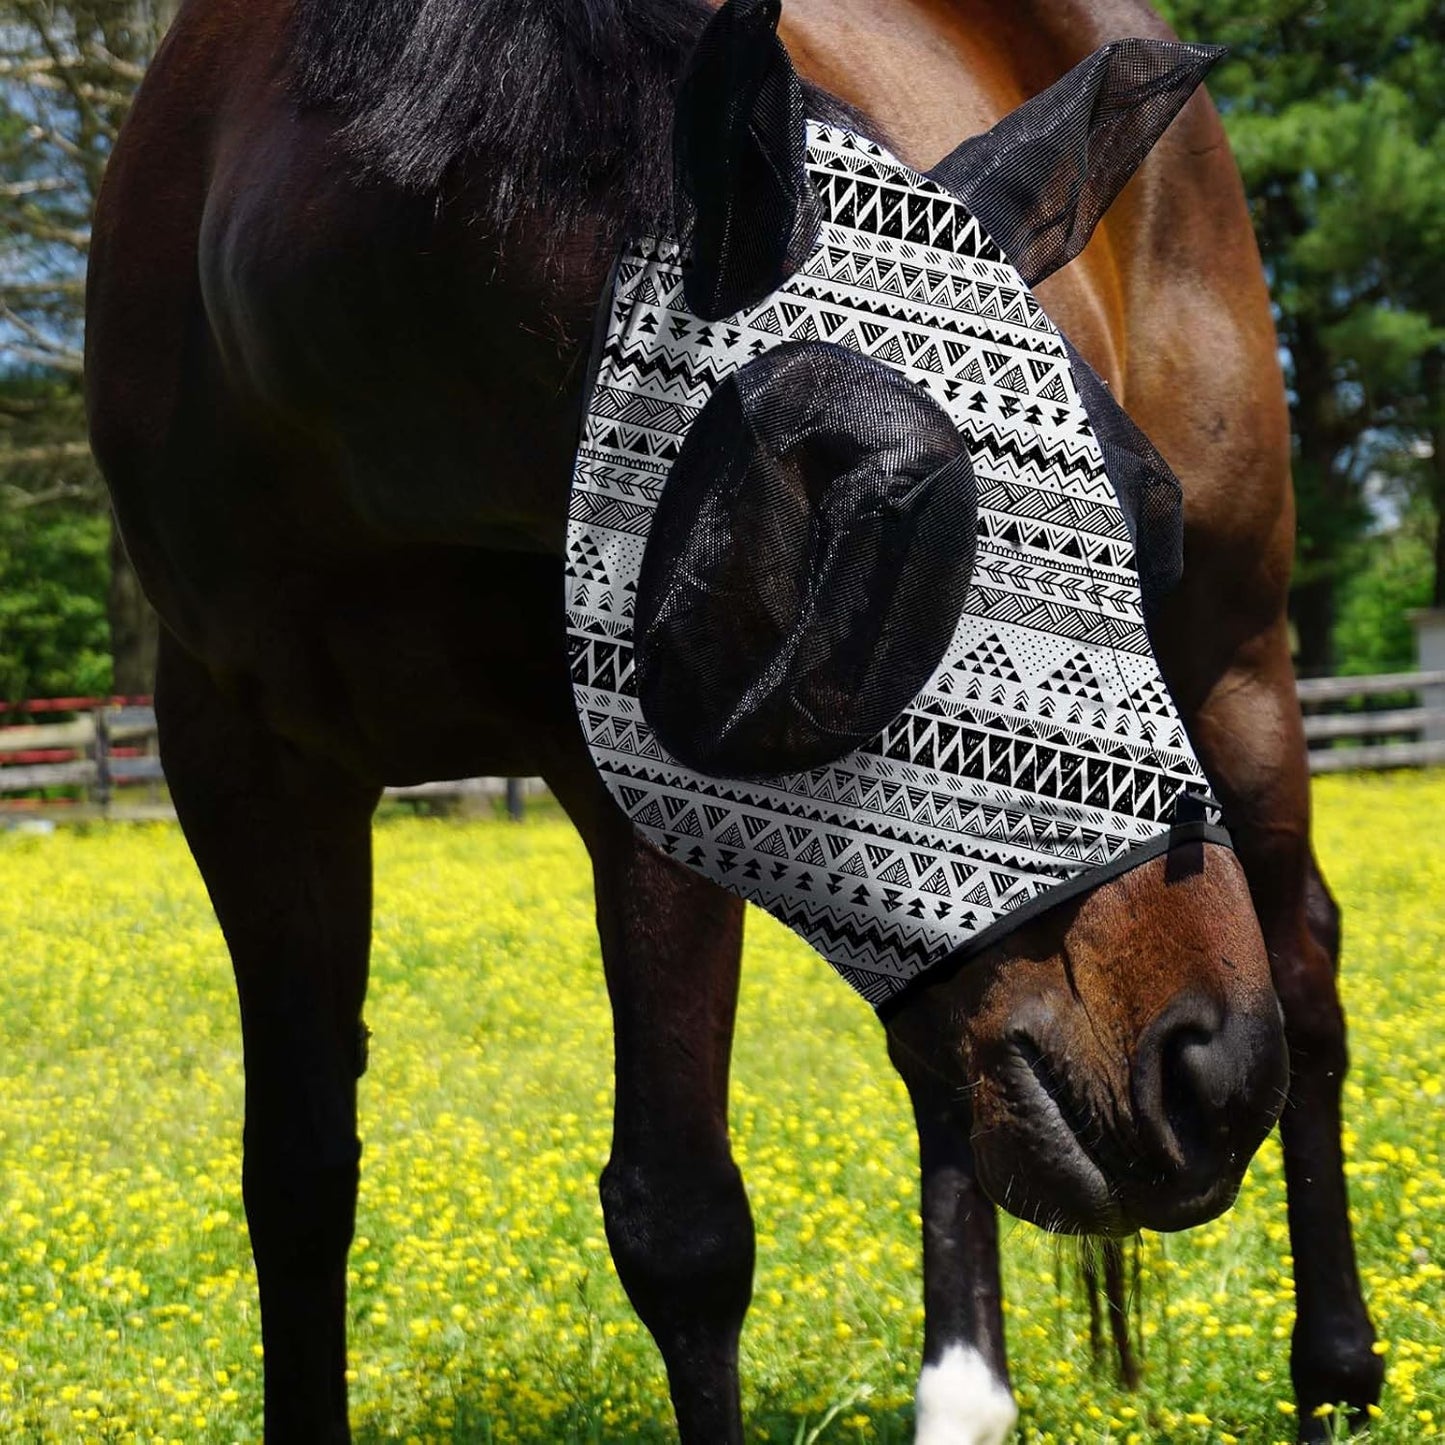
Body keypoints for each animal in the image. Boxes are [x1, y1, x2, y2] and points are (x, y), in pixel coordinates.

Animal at [84, 0, 1382, 1439]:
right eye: (867, 535)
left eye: (1147, 512)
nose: (1208, 1073)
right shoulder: (241, 766)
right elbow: (298, 1180)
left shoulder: (651, 785)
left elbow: (681, 1227)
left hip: (1240, 668)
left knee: (1306, 964)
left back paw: (1333, 1371)